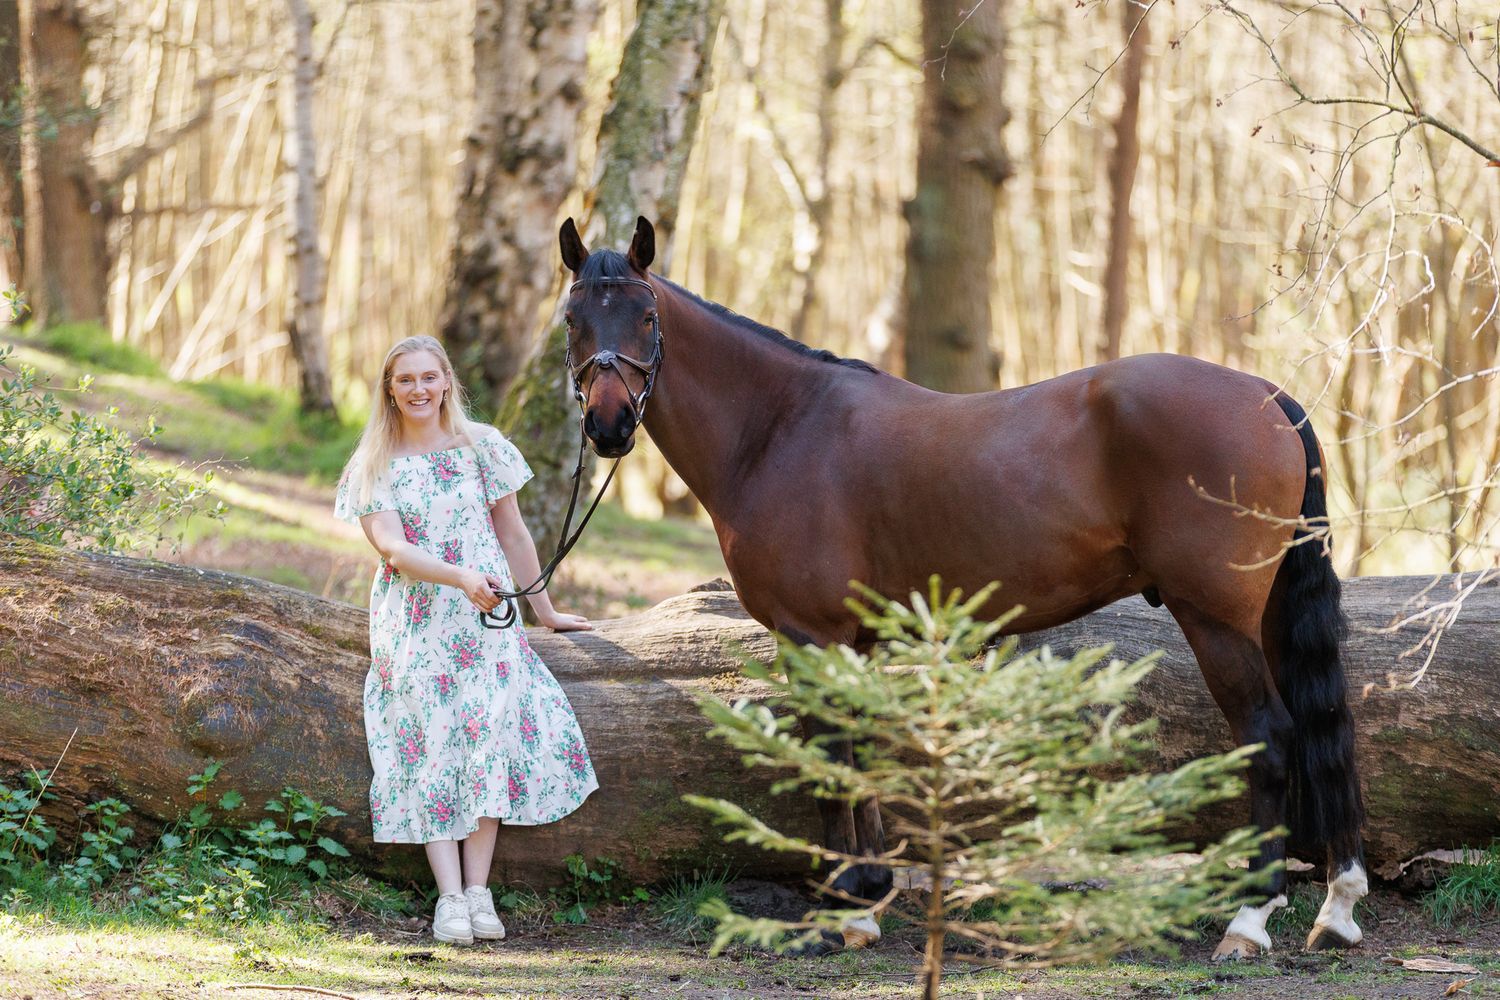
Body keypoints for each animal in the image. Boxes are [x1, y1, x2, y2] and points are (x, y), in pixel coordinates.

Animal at [555, 215, 1366, 961]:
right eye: (572, 319)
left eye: (647, 317)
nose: (608, 424)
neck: (780, 428)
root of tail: (1266, 393)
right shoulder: (858, 639)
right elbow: (865, 751)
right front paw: (867, 900)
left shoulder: (811, 635)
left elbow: (831, 763)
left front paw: (840, 906)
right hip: (1267, 617)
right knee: (1316, 725)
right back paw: (1336, 904)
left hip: (1216, 620)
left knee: (1268, 737)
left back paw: (1248, 921)